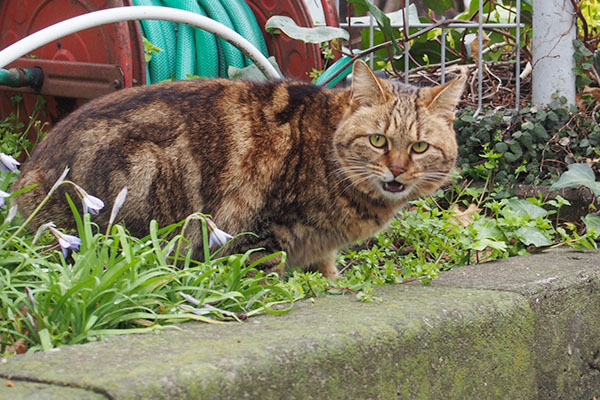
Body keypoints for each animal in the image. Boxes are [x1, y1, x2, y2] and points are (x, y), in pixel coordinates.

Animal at [12, 60, 464, 278]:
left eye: (419, 147)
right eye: (378, 141)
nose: (397, 171)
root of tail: (27, 175)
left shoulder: (319, 248)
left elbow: (326, 271)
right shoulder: (262, 232)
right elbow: (267, 275)